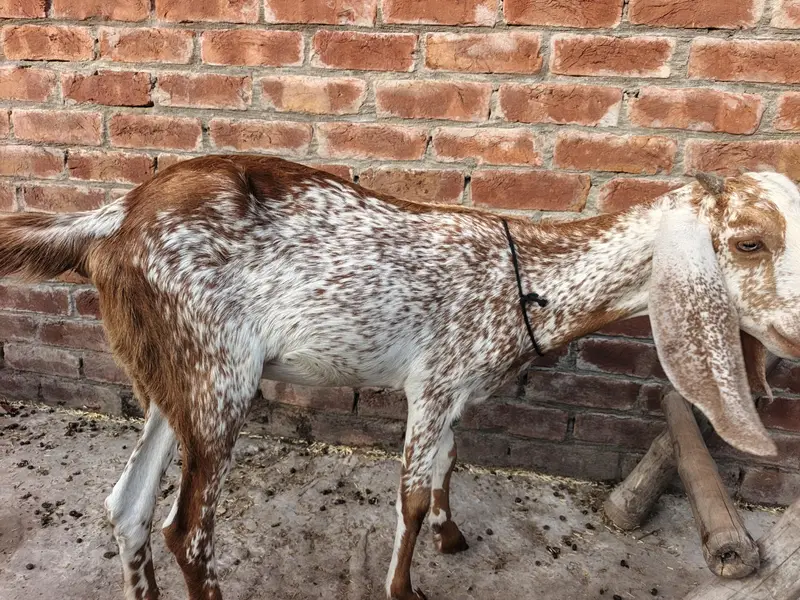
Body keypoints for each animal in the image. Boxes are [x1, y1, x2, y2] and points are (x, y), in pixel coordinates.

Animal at [1, 155, 800, 600]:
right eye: (747, 242)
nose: (795, 333)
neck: (528, 276)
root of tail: (112, 221)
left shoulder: (455, 391)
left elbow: (448, 464)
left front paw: (451, 536)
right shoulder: (436, 381)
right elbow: (411, 496)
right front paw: (405, 587)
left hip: (175, 379)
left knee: (126, 505)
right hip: (218, 373)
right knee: (187, 531)